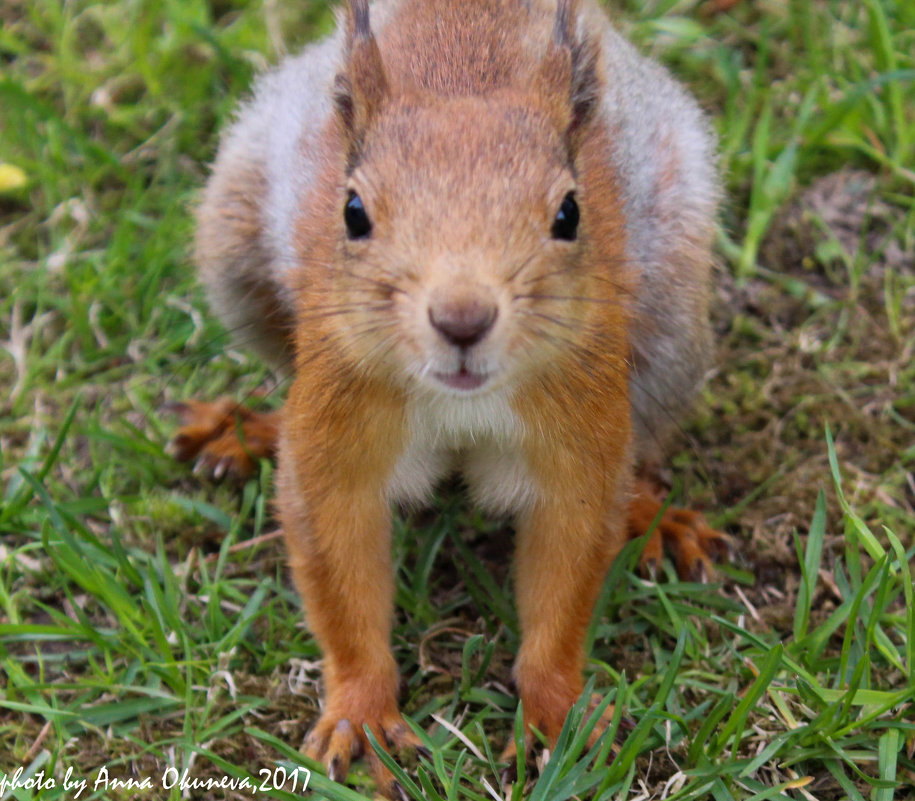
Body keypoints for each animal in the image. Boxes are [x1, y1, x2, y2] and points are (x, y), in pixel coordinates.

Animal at [170, 0, 728, 792]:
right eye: (351, 212)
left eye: (570, 214)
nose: (462, 318)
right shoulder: (335, 427)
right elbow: (338, 573)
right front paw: (360, 713)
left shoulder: (579, 431)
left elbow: (565, 577)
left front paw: (556, 711)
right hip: (235, 243)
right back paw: (247, 429)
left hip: (672, 333)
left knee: (645, 439)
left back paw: (653, 516)